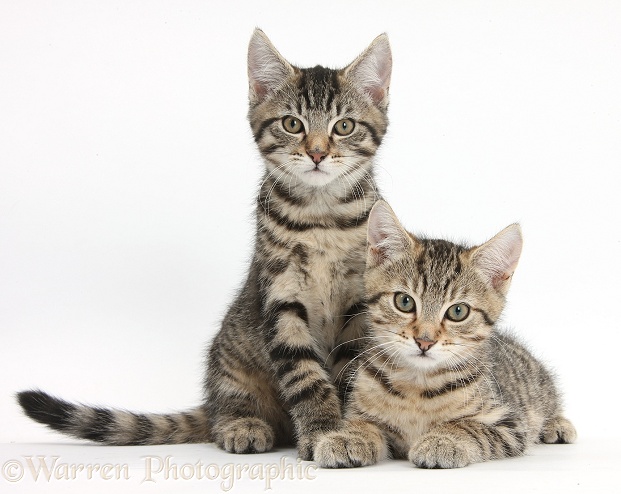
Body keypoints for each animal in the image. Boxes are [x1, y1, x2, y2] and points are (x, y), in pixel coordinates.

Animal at [17, 29, 390, 462]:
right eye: (292, 124)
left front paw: (345, 431)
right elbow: (305, 376)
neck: (321, 216)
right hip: (232, 360)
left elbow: (350, 375)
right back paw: (241, 424)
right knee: (224, 411)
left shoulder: (359, 304)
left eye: (344, 126)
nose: (317, 152)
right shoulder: (281, 298)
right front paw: (320, 430)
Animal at [314, 200, 576, 466]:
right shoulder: (360, 409)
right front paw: (348, 437)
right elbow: (364, 424)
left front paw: (442, 441)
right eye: (404, 302)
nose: (424, 341)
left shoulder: (509, 425)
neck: (416, 387)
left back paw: (558, 425)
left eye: (458, 311)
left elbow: (467, 427)